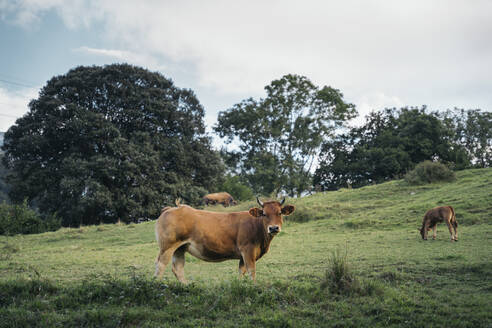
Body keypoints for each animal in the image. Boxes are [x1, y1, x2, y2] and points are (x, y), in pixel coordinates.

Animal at [155, 197, 292, 282]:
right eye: (264, 213)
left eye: (280, 212)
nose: (273, 228)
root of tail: (172, 208)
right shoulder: (248, 250)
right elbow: (251, 272)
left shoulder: (242, 256)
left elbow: (241, 272)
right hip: (167, 246)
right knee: (160, 265)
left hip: (180, 248)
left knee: (177, 268)